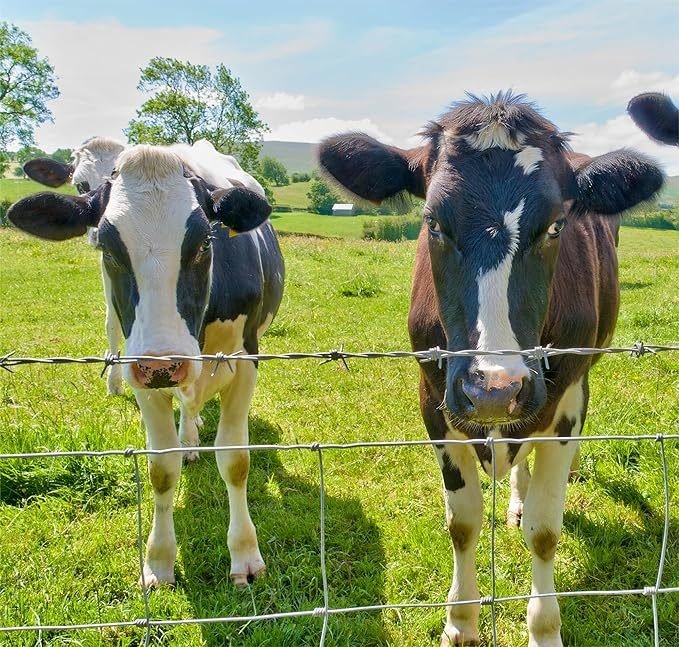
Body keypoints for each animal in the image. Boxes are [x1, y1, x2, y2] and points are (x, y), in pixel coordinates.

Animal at [8, 141, 284, 588]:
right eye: (109, 249)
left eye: (204, 244)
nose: (164, 363)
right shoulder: (140, 371)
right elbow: (161, 468)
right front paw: (159, 560)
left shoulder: (246, 361)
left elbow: (235, 460)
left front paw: (244, 554)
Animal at [318, 91, 663, 646]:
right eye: (433, 222)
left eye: (556, 224)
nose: (494, 389)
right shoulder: (434, 398)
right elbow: (462, 523)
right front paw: (461, 621)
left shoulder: (564, 404)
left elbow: (545, 530)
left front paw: (544, 629)